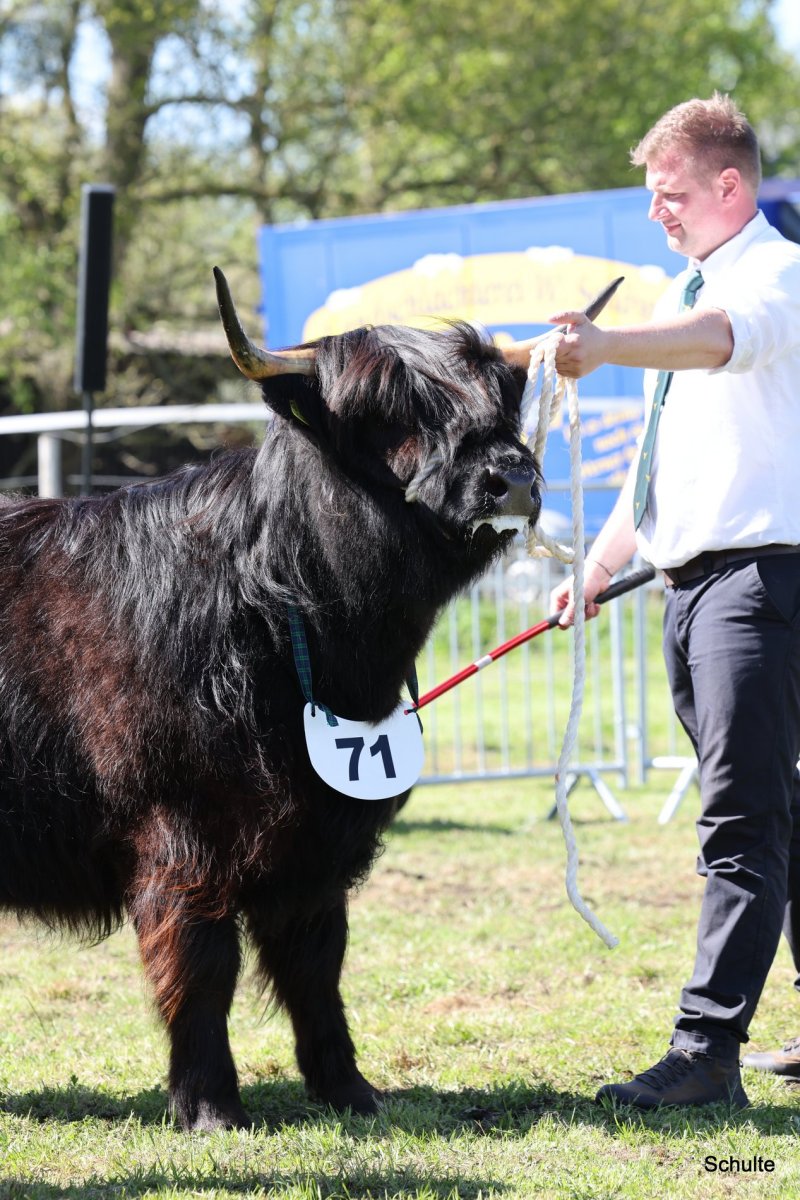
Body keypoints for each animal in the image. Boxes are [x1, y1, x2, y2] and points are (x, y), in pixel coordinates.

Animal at [0, 268, 541, 1130]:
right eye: (384, 409)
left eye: (500, 399)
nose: (511, 477)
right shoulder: (182, 830)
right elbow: (200, 964)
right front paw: (210, 1104)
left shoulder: (317, 838)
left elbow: (315, 964)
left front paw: (350, 1089)